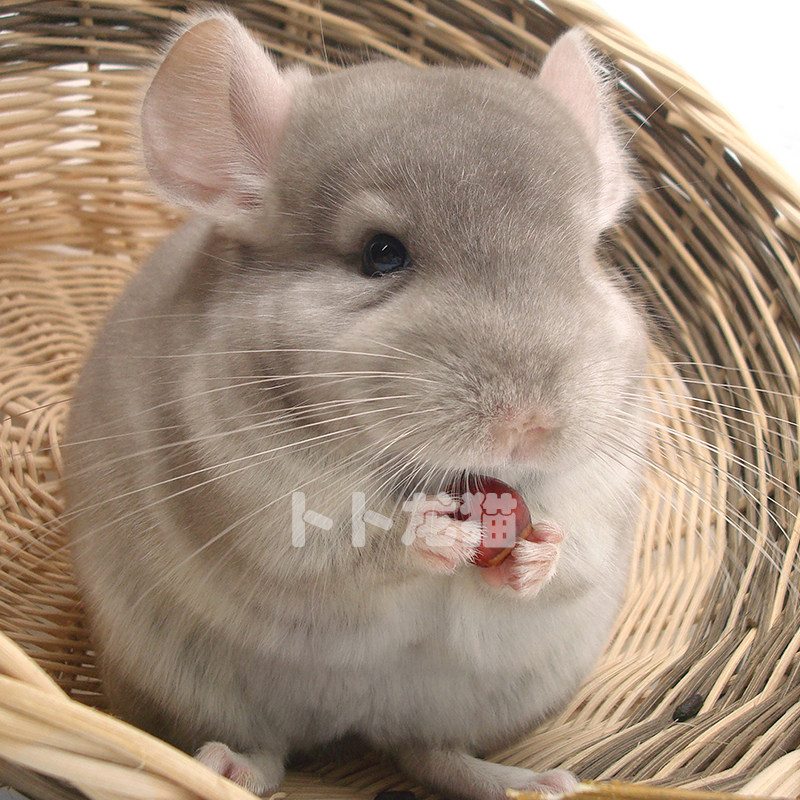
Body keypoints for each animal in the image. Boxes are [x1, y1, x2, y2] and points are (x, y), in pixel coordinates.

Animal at [63, 11, 649, 800]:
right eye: (381, 253)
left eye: (586, 256)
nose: (530, 424)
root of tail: (357, 724)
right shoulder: (256, 506)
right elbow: (345, 554)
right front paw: (431, 535)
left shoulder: (604, 493)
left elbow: (573, 553)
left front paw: (536, 554)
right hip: (196, 689)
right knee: (271, 753)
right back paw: (223, 765)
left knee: (430, 752)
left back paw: (529, 782)